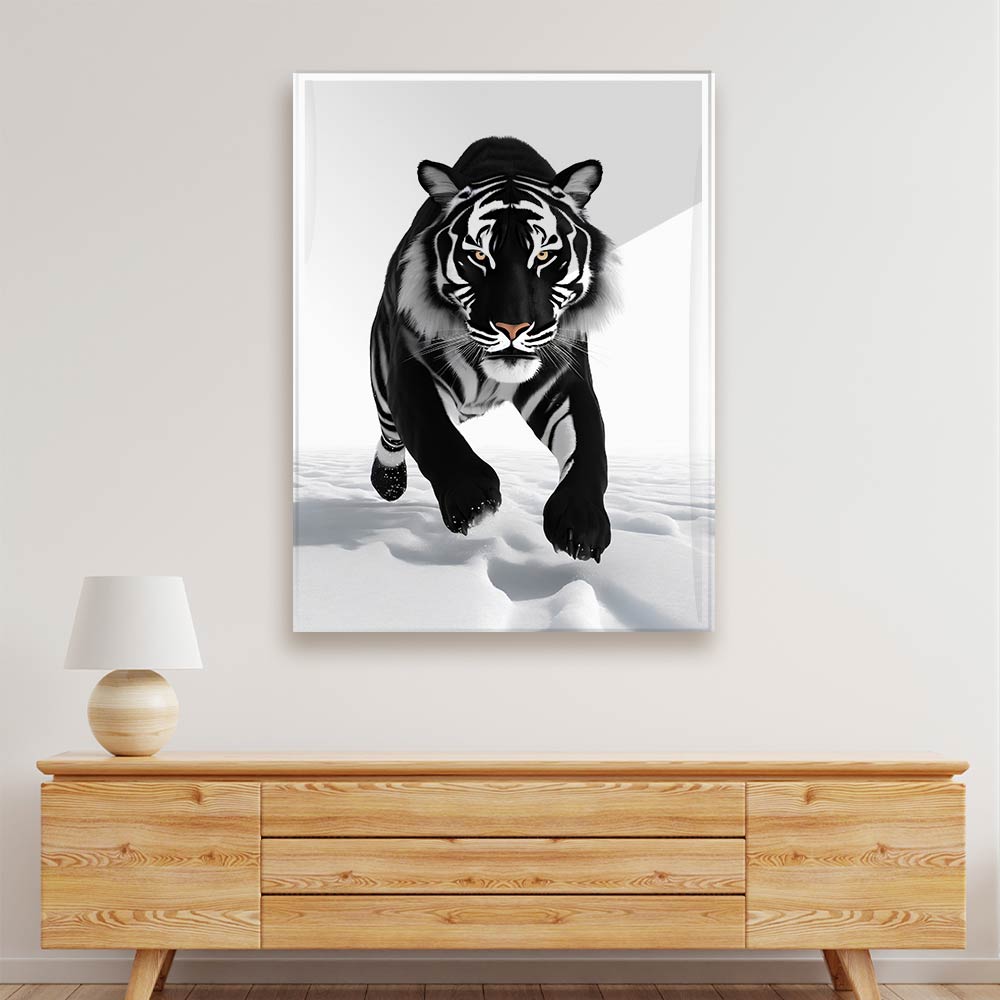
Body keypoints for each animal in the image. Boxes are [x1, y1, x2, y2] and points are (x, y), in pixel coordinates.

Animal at [368, 136, 620, 562]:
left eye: (544, 255)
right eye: (478, 256)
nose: (513, 326)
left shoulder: (564, 380)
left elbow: (589, 445)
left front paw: (580, 524)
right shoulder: (412, 367)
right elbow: (433, 431)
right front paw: (474, 499)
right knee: (390, 430)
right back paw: (387, 482)